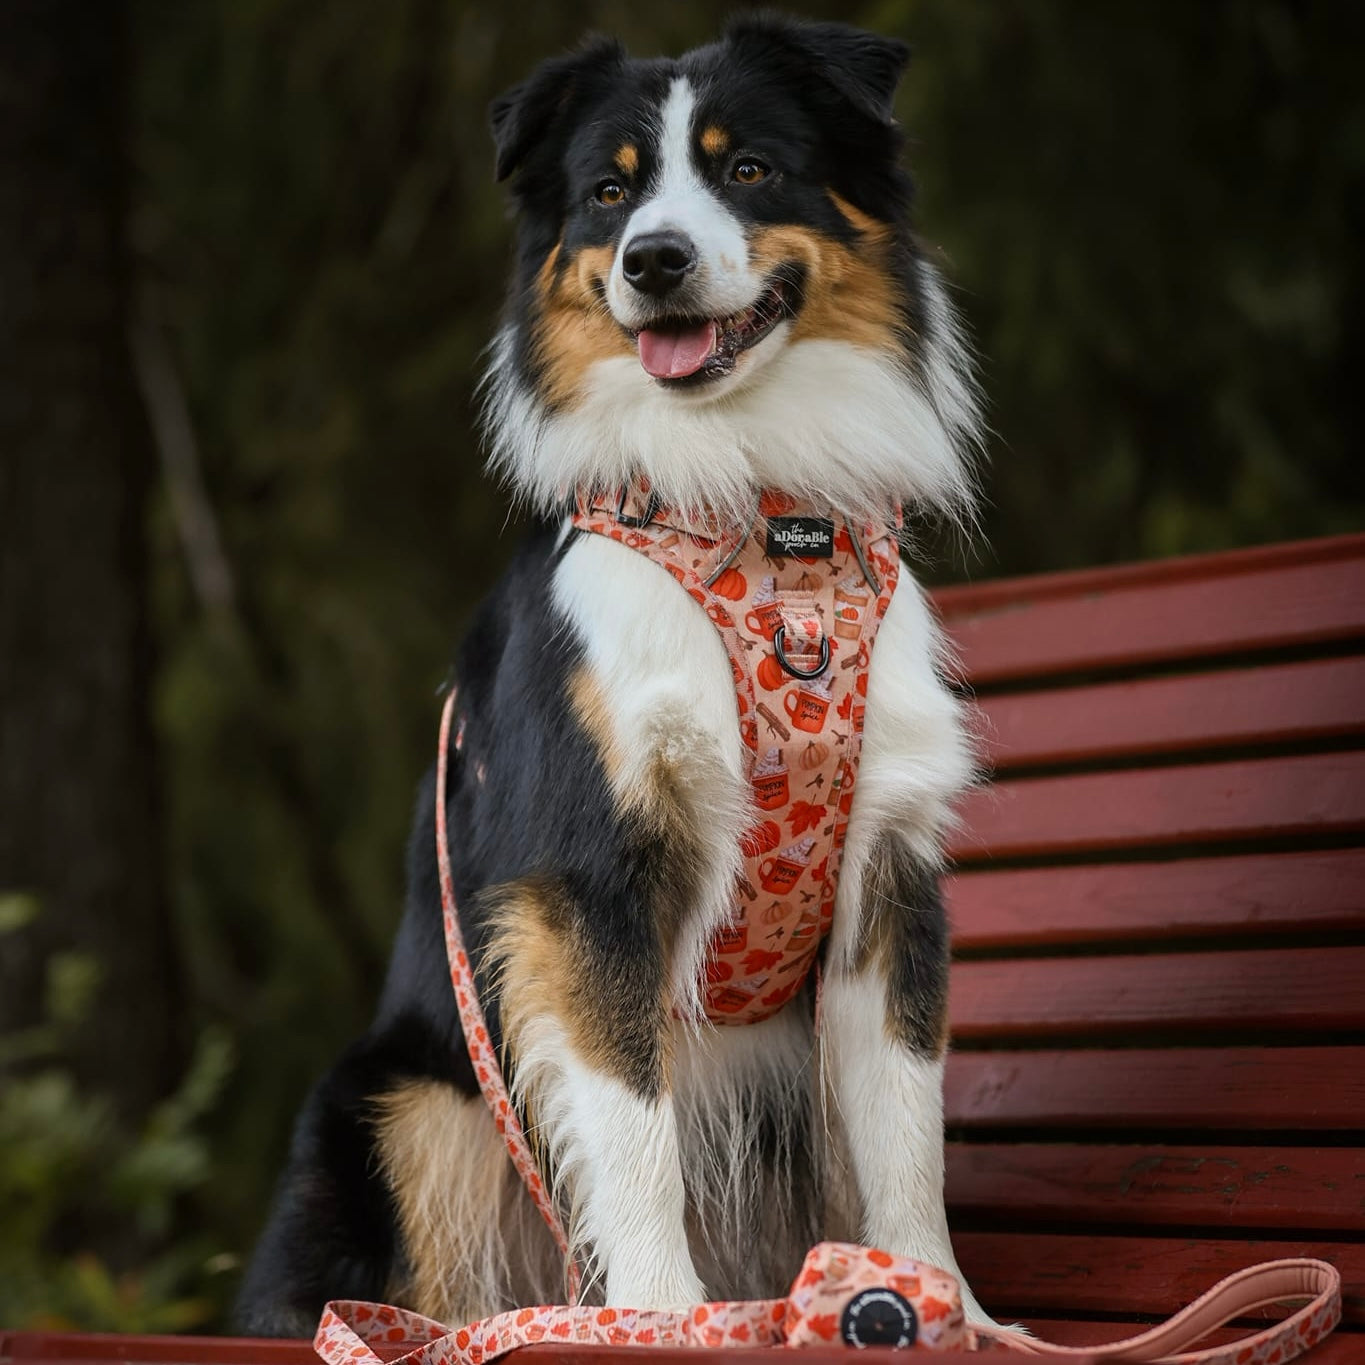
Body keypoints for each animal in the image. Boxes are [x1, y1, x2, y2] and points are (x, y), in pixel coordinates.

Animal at [237, 10, 993, 1332]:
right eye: (610, 192)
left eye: (750, 169)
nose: (655, 261)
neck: (763, 528)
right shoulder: (586, 870)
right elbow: (633, 1125)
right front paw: (661, 1317)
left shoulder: (887, 870)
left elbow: (908, 1128)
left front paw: (945, 1308)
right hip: (407, 1105)